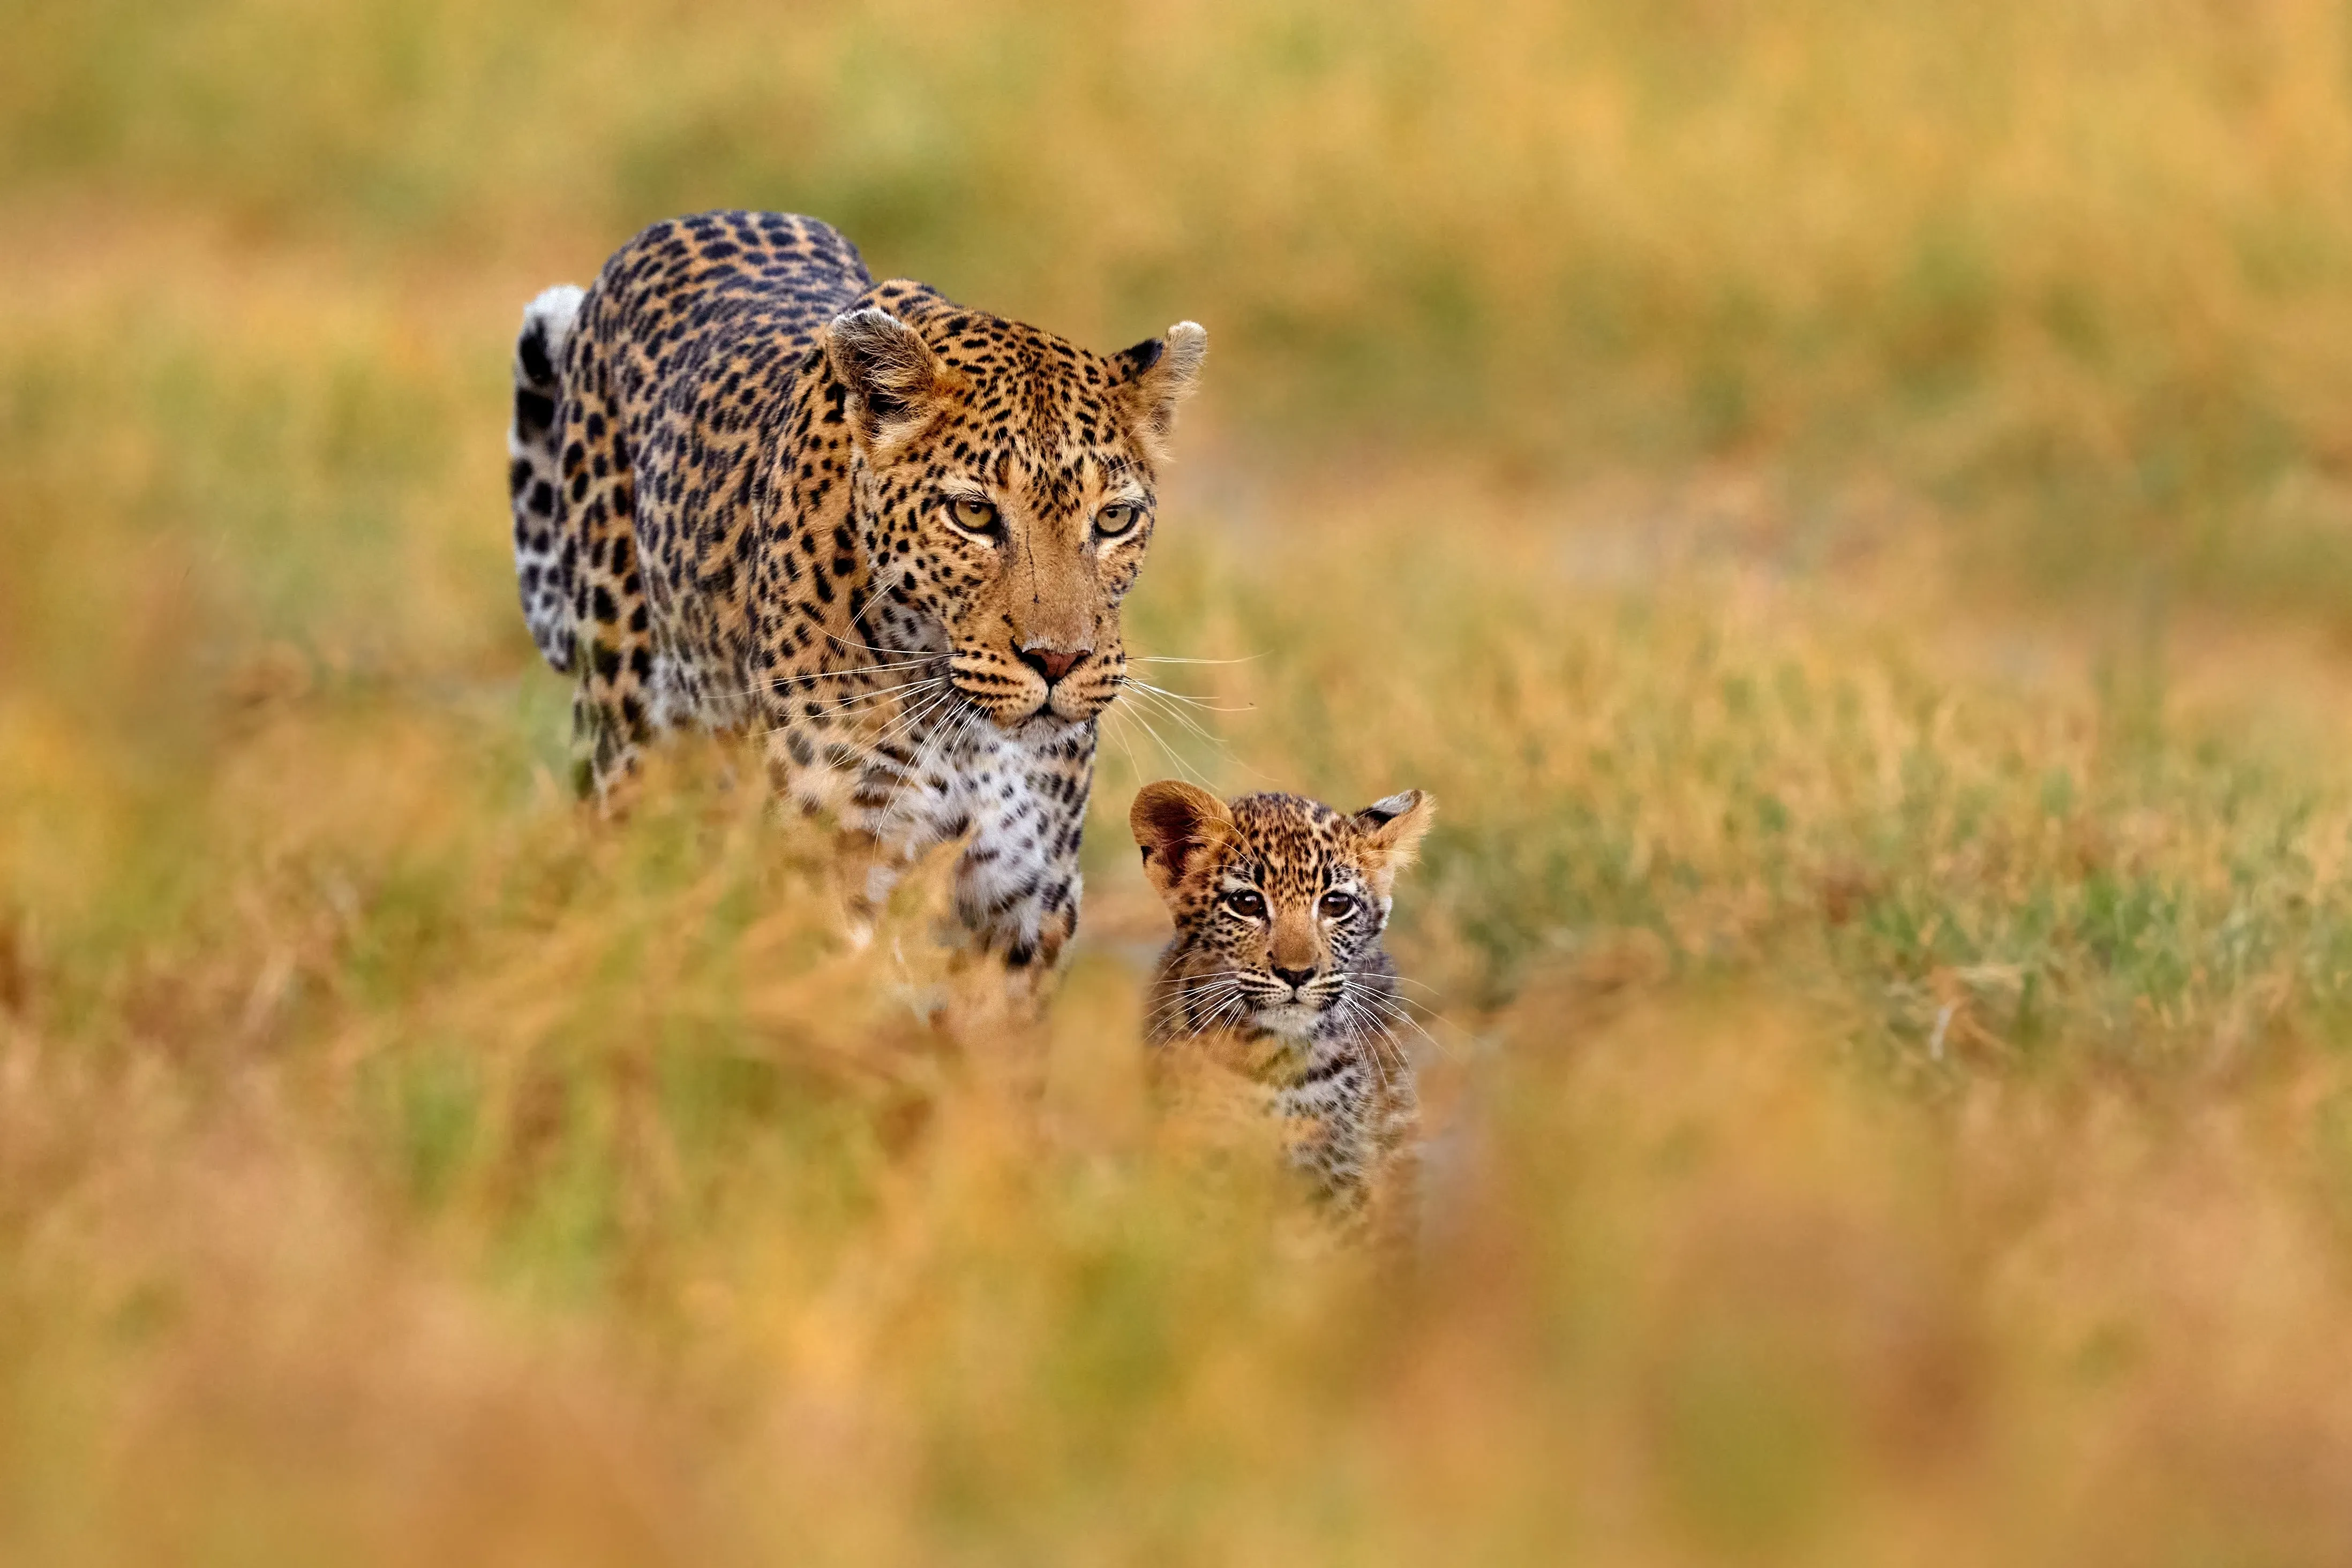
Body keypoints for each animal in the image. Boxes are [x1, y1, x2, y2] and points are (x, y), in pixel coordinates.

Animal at [505, 210, 1205, 998]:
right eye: (972, 514)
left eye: (1113, 519)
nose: (1057, 661)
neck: (966, 733)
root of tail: (681, 221)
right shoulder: (831, 867)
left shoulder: (1025, 901)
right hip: (622, 742)